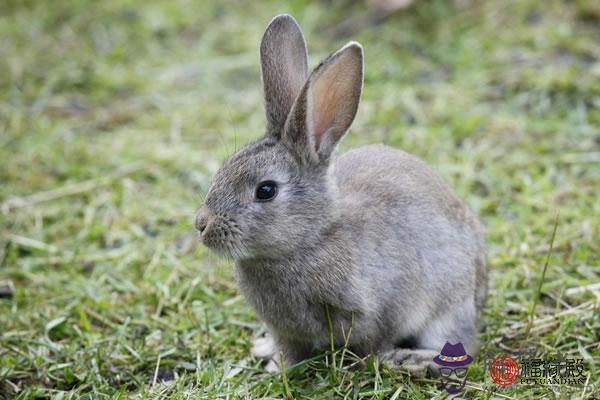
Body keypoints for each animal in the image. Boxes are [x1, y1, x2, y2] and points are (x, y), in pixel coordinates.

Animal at [197, 13, 488, 376]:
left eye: (265, 190)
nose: (201, 225)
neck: (309, 240)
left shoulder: (380, 308)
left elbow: (374, 341)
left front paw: (379, 360)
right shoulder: (286, 331)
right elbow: (289, 349)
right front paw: (276, 363)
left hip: (451, 304)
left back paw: (414, 360)